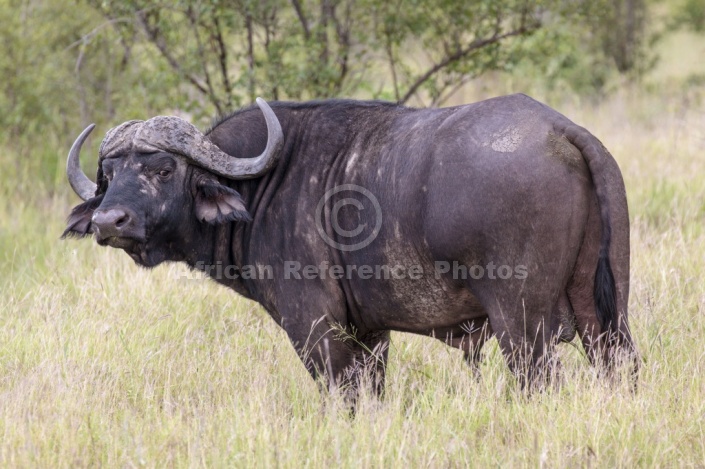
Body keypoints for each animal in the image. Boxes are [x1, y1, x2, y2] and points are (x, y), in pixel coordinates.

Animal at [64, 95, 640, 398]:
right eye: (109, 173)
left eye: (163, 169)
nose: (109, 220)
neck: (262, 185)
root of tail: (561, 131)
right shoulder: (371, 333)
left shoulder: (315, 328)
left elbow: (341, 396)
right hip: (605, 314)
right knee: (620, 367)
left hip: (521, 325)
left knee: (539, 380)